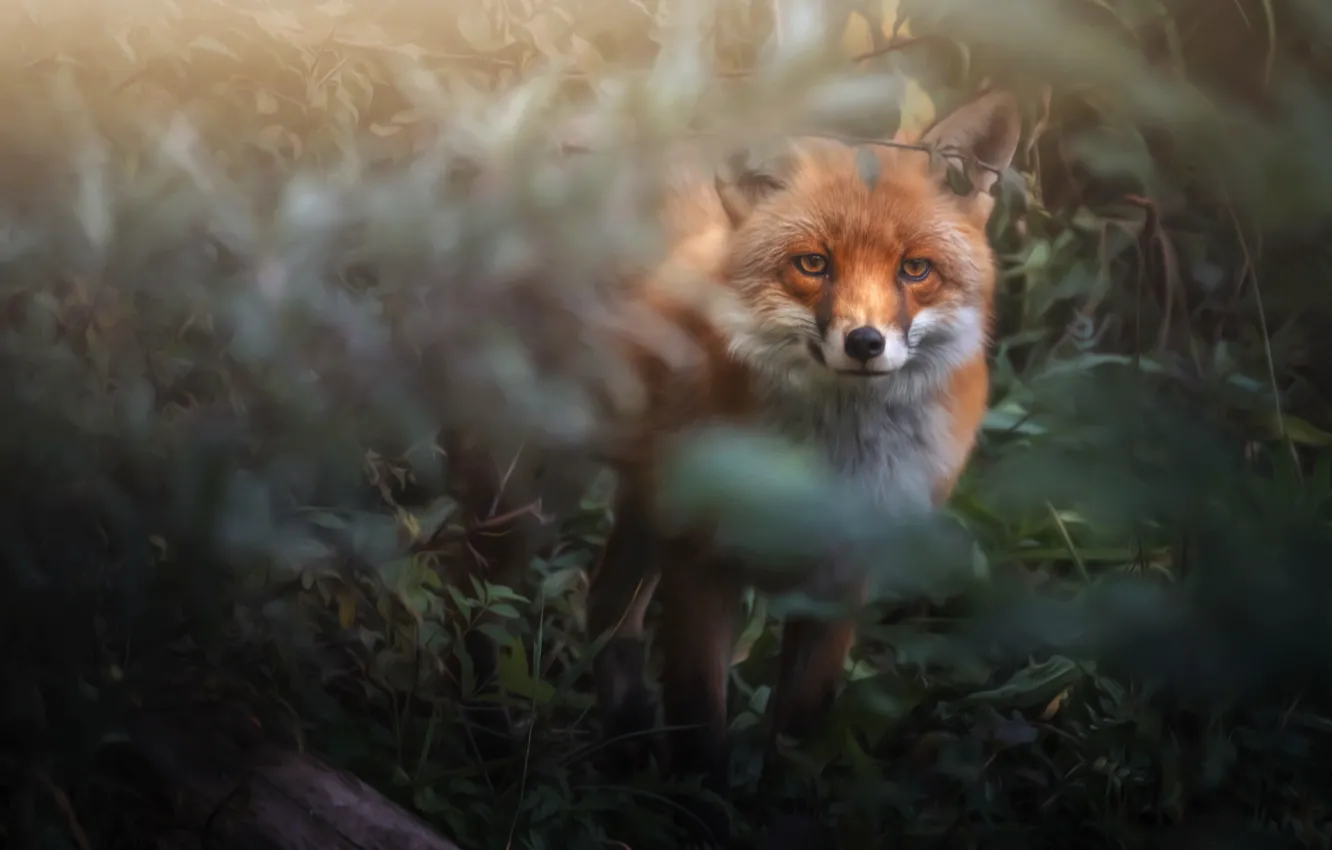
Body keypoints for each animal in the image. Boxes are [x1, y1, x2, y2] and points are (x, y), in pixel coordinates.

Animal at [444, 88, 1022, 798]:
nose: (864, 343)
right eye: (813, 264)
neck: (824, 465)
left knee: (605, 609)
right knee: (471, 602)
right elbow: (700, 725)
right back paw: (490, 745)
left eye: (916, 270)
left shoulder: (841, 576)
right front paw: (701, 803)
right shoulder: (702, 563)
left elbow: (798, 732)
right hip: (528, 494)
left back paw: (625, 748)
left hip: (639, 505)